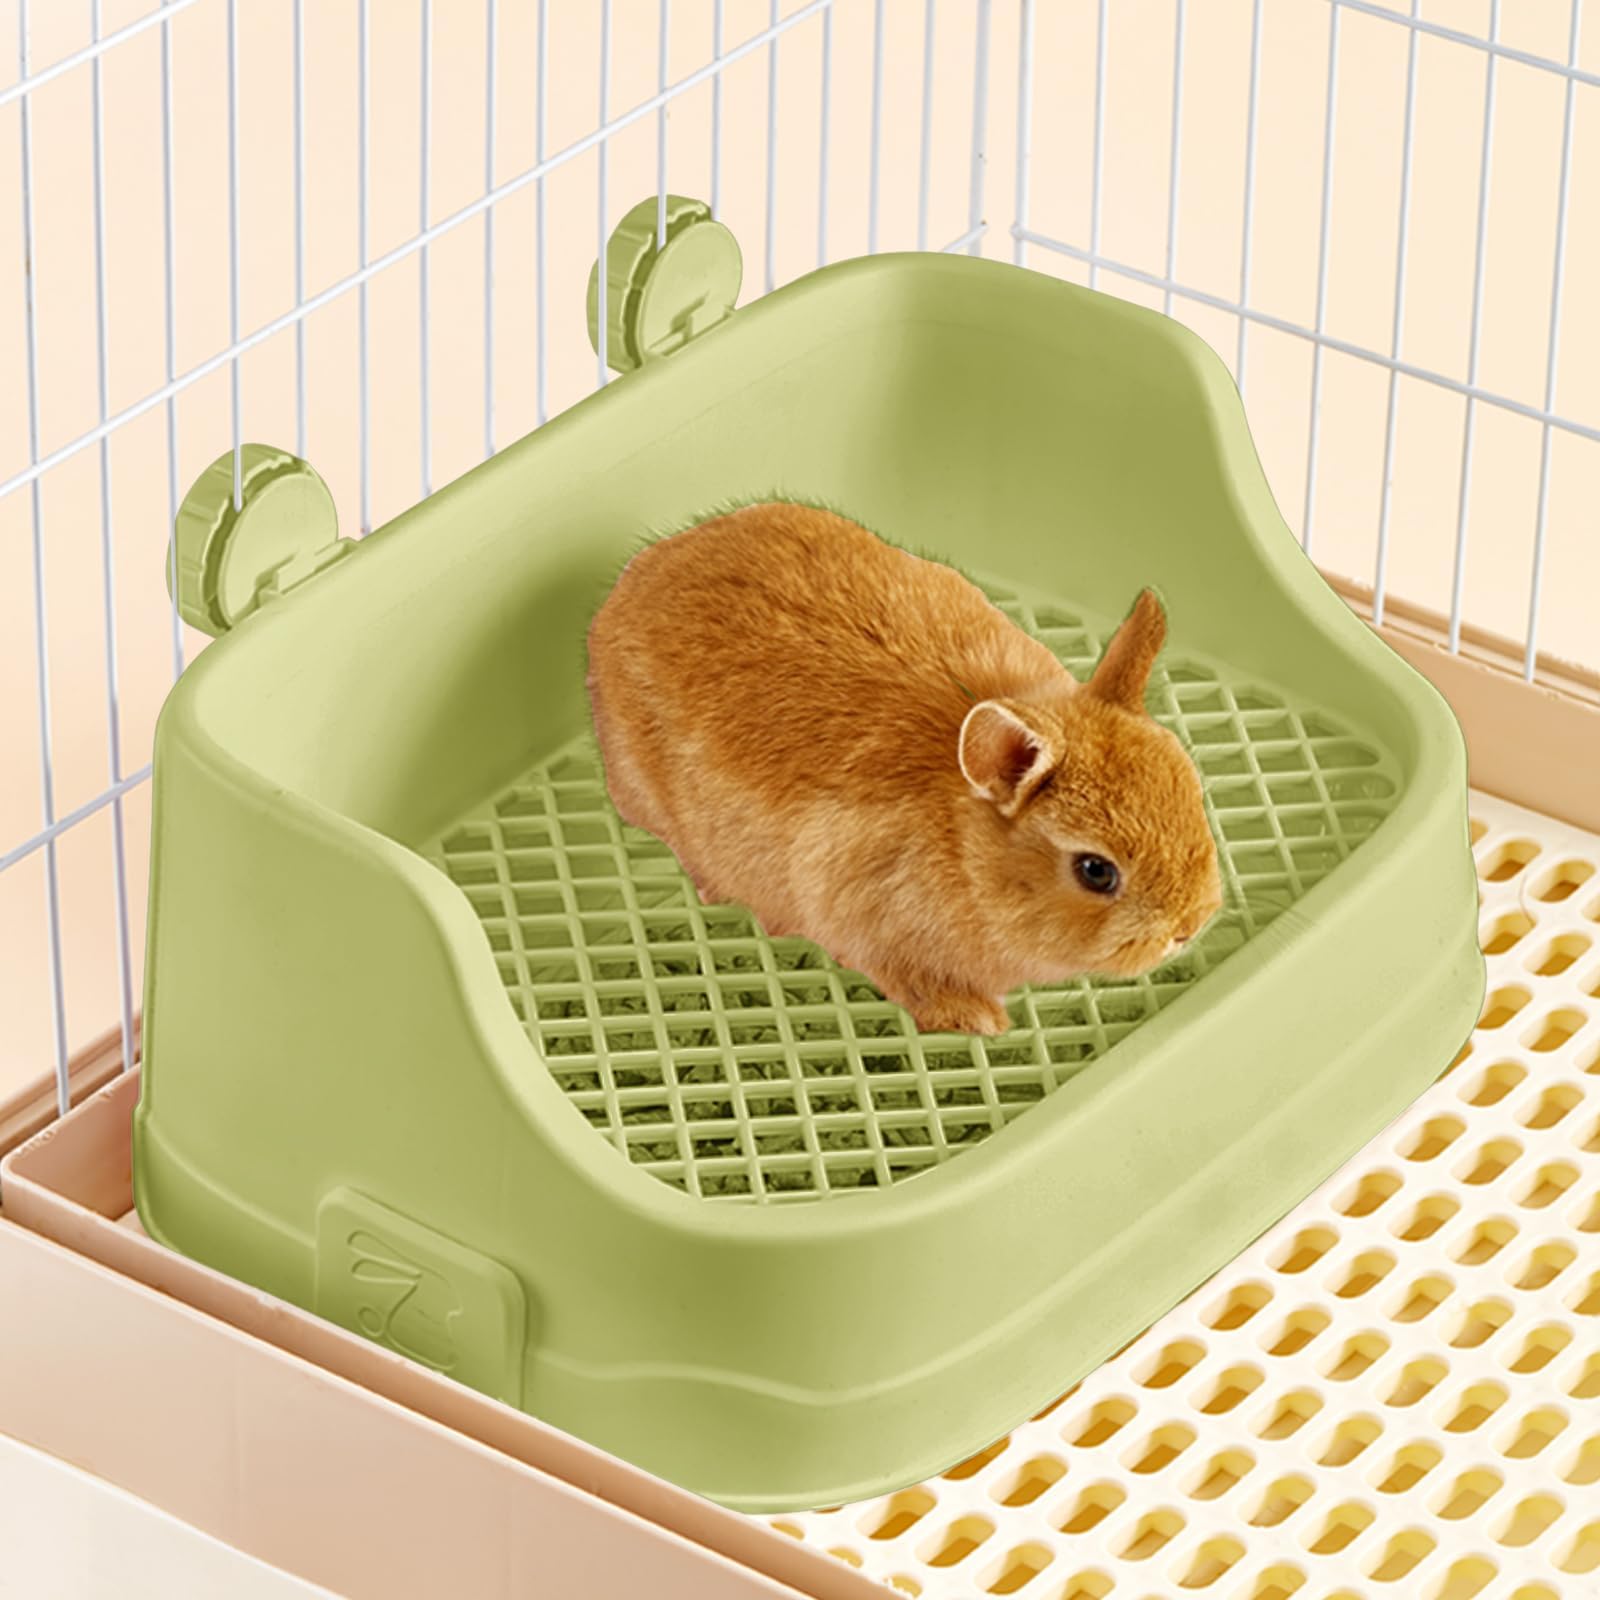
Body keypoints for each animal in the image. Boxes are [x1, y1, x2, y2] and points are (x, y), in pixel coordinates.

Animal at [586, 503, 1222, 1035]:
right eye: (1096, 871)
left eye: (1192, 790)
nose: (1187, 928)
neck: (965, 847)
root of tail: (628, 587)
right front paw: (980, 1021)